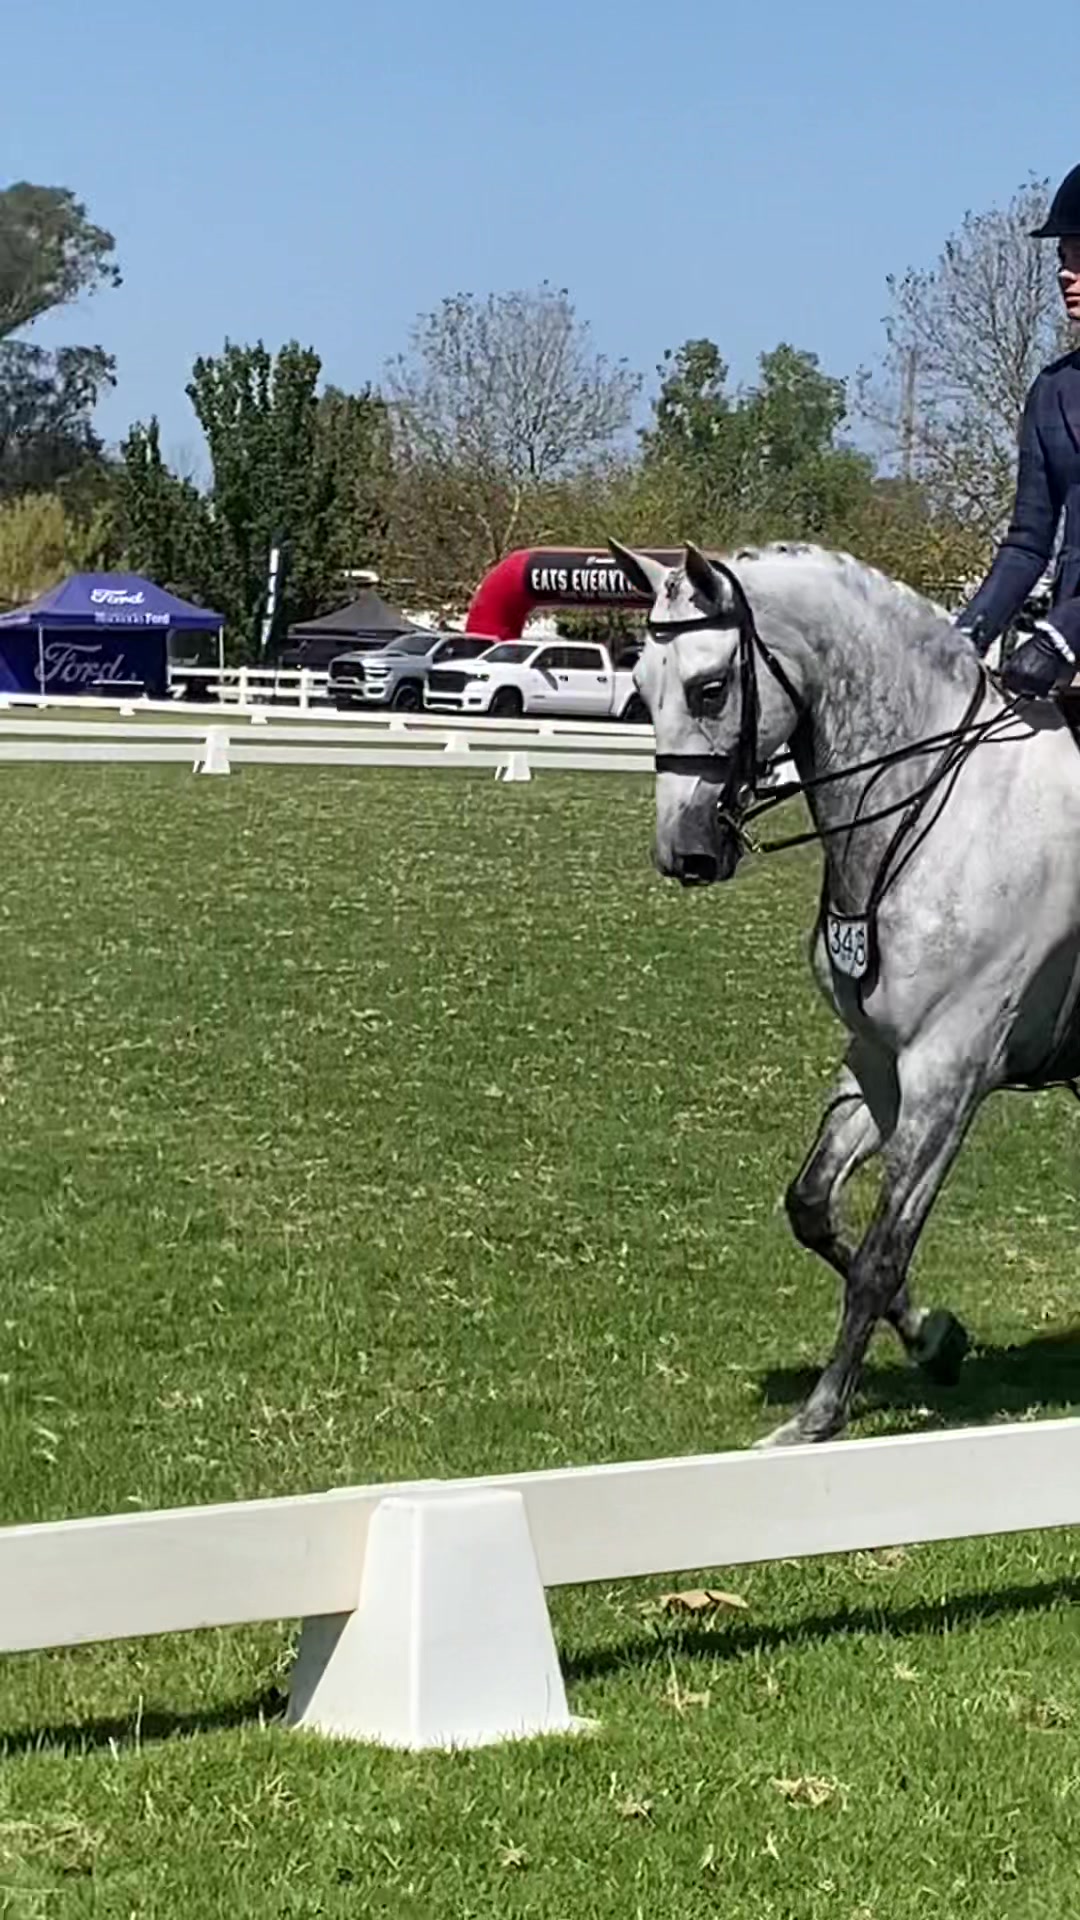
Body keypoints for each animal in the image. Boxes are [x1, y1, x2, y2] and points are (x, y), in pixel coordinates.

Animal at [609, 536, 1080, 1446]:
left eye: (709, 688)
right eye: (641, 688)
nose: (684, 854)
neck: (940, 809)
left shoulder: (948, 1075)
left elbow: (879, 1254)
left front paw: (817, 1418)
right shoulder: (878, 1062)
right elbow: (812, 1207)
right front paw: (936, 1338)